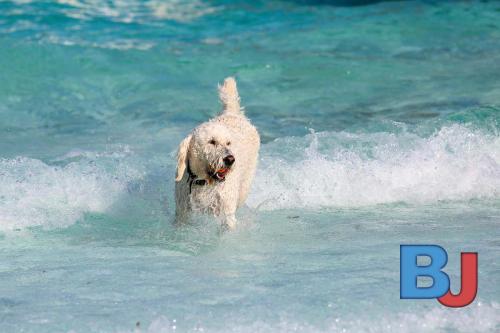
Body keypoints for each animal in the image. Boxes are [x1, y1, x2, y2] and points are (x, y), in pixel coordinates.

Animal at [175, 78, 262, 228]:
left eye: (228, 143)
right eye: (212, 141)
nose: (230, 159)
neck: (203, 181)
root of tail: (232, 113)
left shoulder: (226, 209)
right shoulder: (182, 211)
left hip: (245, 184)